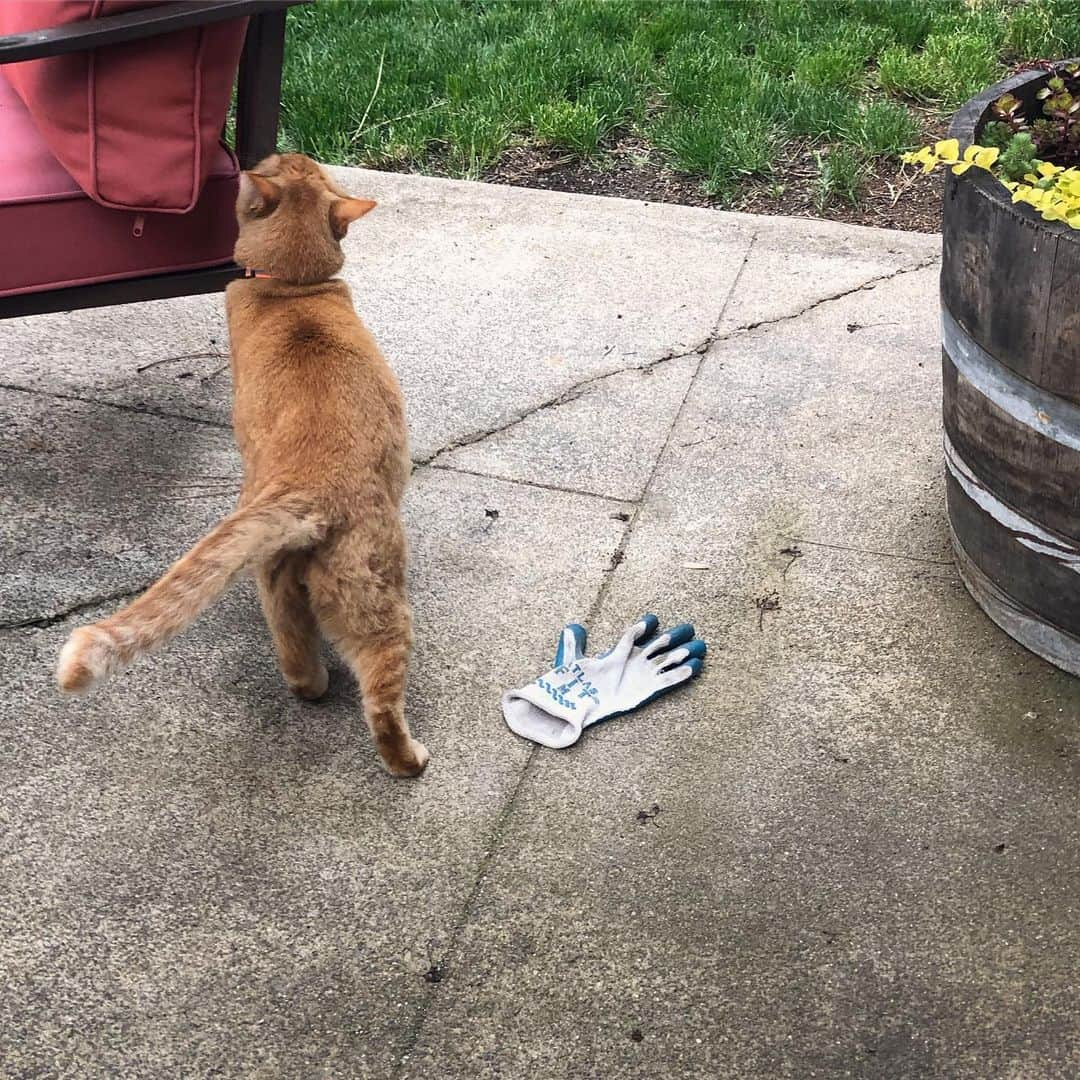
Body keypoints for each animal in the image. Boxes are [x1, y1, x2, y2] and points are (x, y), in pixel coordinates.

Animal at [54, 152, 425, 777]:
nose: (273, 155)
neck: (296, 293)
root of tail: (306, 489)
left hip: (279, 586)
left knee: (298, 661)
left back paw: (313, 685)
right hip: (375, 601)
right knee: (380, 698)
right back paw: (410, 760)